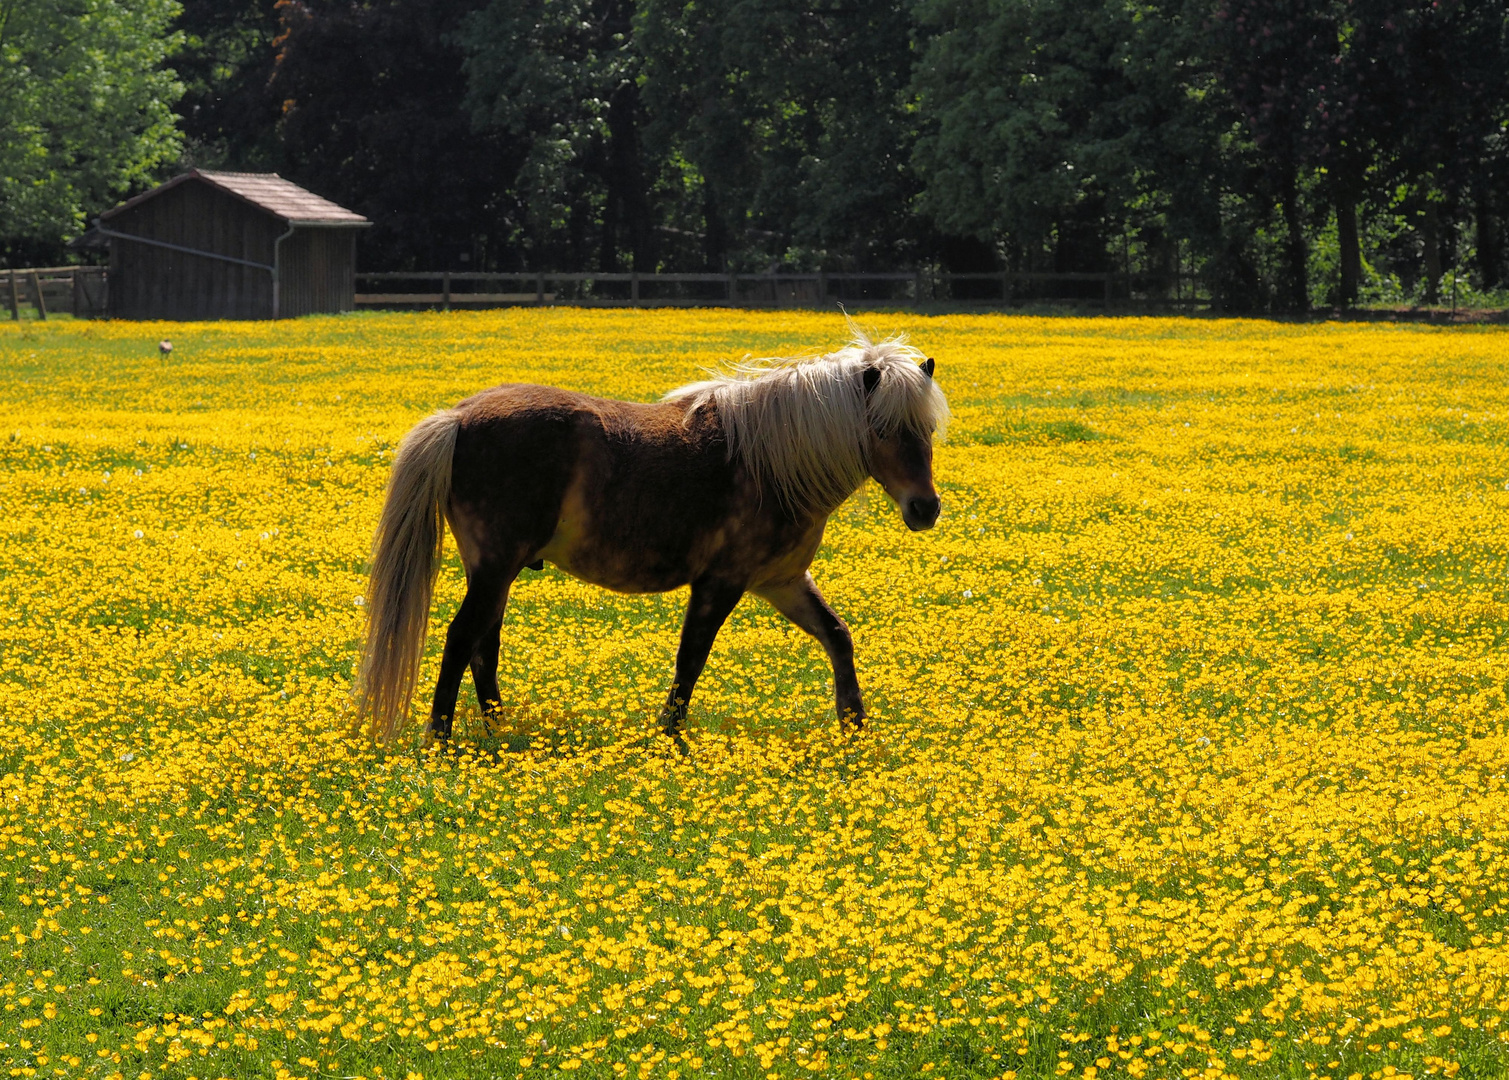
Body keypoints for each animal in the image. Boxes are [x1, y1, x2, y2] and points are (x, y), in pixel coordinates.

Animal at [356, 331, 941, 751]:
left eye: (928, 430)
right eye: (882, 428)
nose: (925, 508)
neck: (773, 461)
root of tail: (458, 417)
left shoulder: (783, 582)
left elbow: (838, 637)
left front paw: (854, 726)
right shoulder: (721, 583)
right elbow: (690, 661)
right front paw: (670, 736)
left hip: (498, 573)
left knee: (484, 646)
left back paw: (498, 730)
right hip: (495, 567)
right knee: (462, 639)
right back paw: (439, 739)